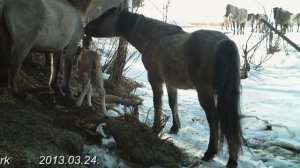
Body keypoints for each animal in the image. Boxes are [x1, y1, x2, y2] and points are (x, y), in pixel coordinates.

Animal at [85, 4, 243, 167]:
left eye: (105, 16)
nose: (86, 28)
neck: (154, 37)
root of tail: (223, 42)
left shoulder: (154, 78)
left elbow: (157, 103)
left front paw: (155, 128)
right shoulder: (169, 82)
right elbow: (173, 103)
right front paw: (175, 127)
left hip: (204, 90)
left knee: (214, 117)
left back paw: (211, 152)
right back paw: (232, 159)